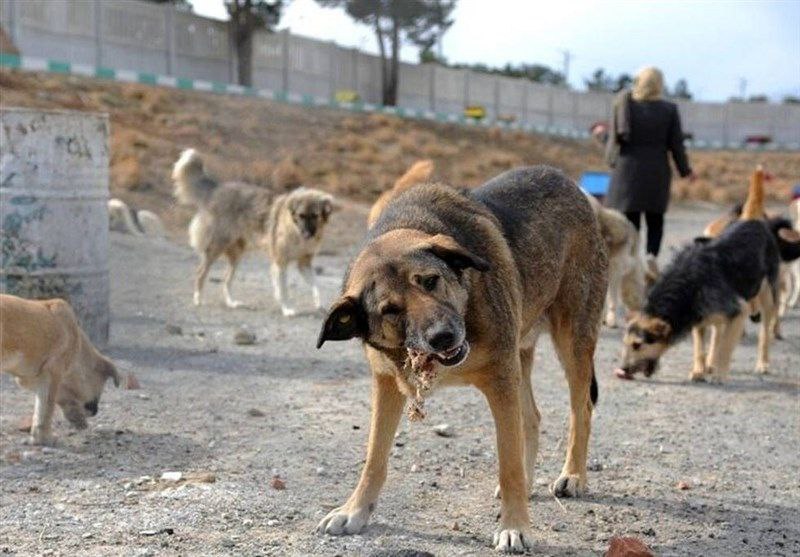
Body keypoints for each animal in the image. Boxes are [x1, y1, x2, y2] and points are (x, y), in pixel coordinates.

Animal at [170, 148, 332, 312]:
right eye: (301, 215)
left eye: (315, 216)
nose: (308, 234)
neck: (294, 230)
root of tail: (216, 188)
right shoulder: (280, 262)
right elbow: (283, 290)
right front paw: (287, 309)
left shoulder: (304, 264)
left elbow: (316, 286)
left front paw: (320, 305)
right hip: (216, 247)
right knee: (201, 273)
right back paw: (198, 300)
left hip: (236, 254)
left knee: (226, 280)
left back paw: (231, 303)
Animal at [316, 165, 604, 552]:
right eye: (390, 310)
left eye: (430, 281)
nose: (444, 336)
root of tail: (565, 179)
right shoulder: (388, 384)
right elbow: (374, 458)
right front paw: (355, 510)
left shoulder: (500, 379)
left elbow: (508, 463)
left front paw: (515, 526)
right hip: (520, 354)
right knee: (531, 416)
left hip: (572, 341)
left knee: (581, 409)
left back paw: (572, 475)